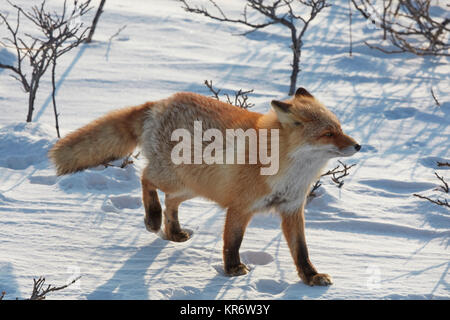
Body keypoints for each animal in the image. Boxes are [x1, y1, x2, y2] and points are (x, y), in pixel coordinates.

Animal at [49, 88, 360, 288]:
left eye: (340, 128)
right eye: (328, 133)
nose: (358, 145)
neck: (287, 169)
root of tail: (162, 101)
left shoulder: (293, 209)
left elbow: (301, 251)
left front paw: (310, 278)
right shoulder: (240, 207)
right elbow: (233, 242)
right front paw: (232, 269)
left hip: (194, 186)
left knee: (171, 202)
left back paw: (173, 232)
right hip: (174, 177)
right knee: (146, 179)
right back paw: (152, 218)